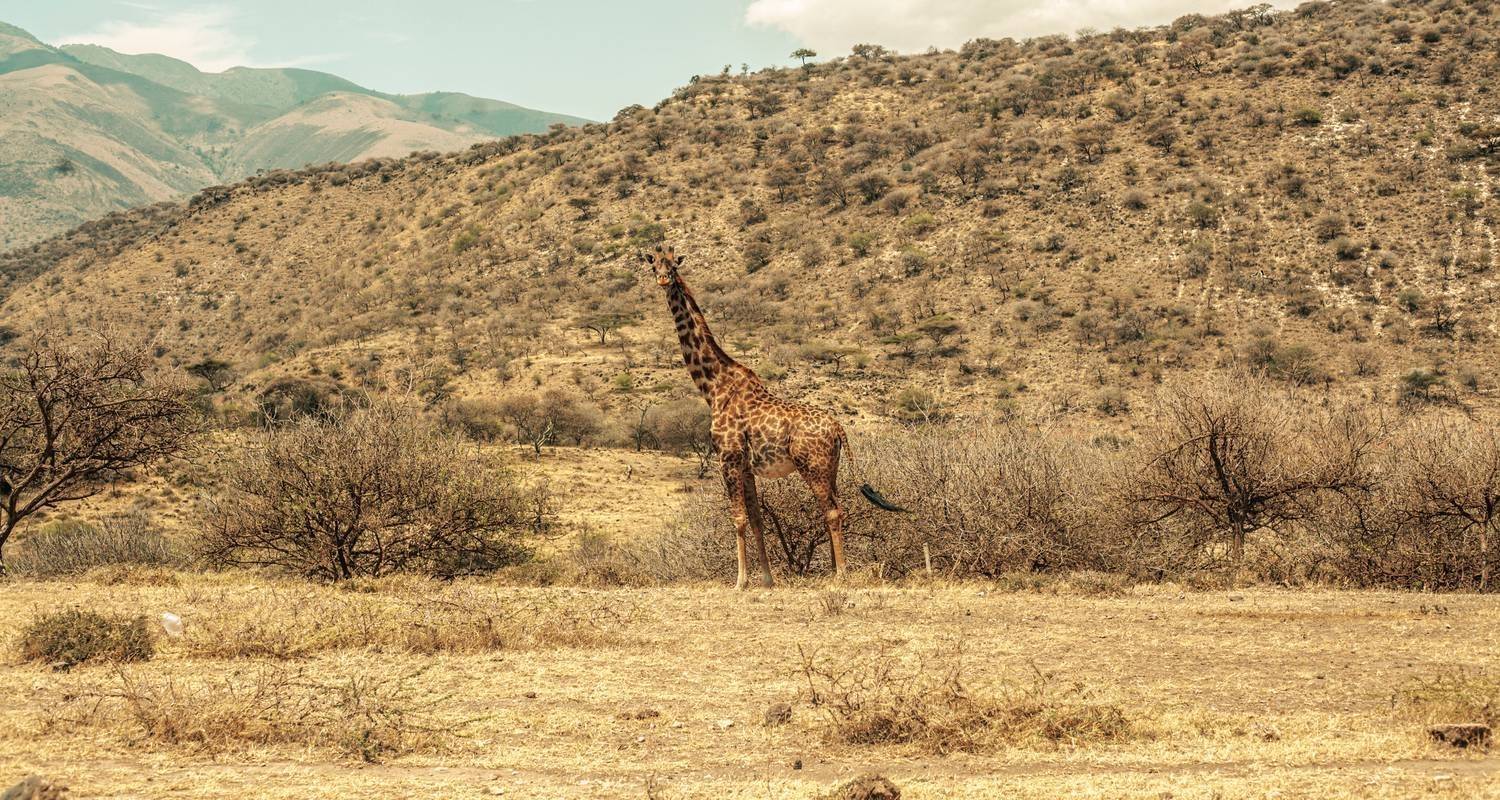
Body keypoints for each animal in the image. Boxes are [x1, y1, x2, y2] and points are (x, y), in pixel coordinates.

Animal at [642, 243, 900, 585]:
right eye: (654, 264)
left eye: (673, 266)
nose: (662, 280)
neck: (714, 387)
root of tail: (838, 428)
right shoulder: (747, 467)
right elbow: (757, 520)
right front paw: (766, 580)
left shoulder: (728, 458)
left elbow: (737, 518)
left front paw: (740, 581)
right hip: (831, 469)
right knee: (836, 507)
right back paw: (834, 569)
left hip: (812, 467)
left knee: (832, 511)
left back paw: (841, 574)